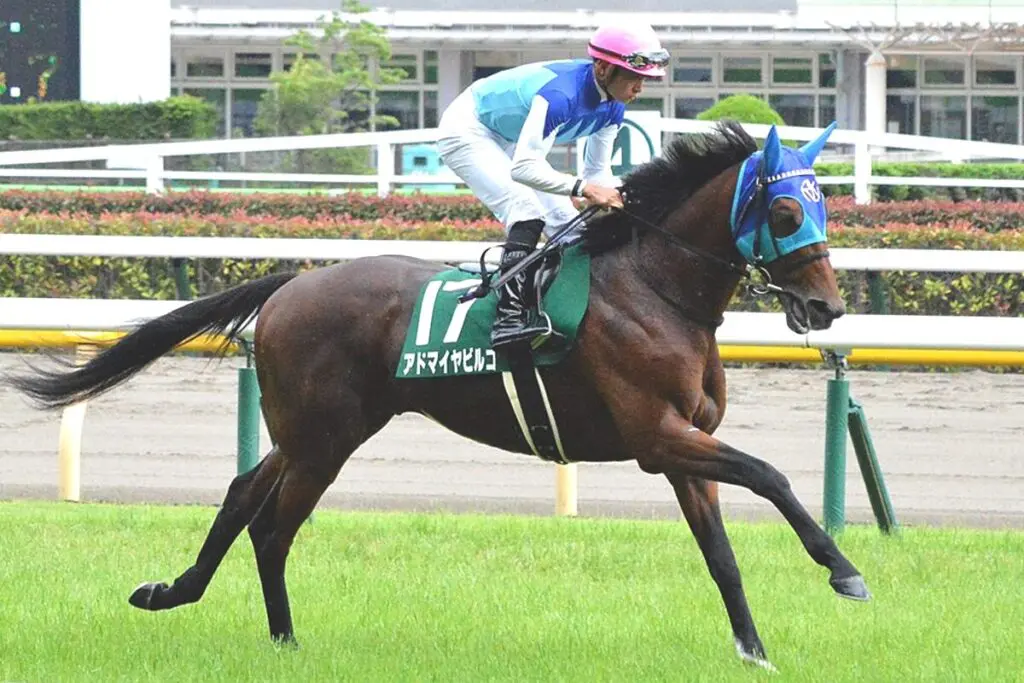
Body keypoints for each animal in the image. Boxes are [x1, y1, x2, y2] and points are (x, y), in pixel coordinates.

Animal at [5, 120, 868, 670]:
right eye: (785, 208)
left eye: (825, 204)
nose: (826, 306)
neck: (654, 289)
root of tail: (290, 284)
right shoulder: (656, 437)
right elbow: (772, 475)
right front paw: (843, 569)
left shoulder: (683, 443)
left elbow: (721, 554)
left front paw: (755, 650)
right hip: (325, 438)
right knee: (273, 526)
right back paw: (282, 639)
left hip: (307, 431)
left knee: (243, 492)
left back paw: (179, 594)